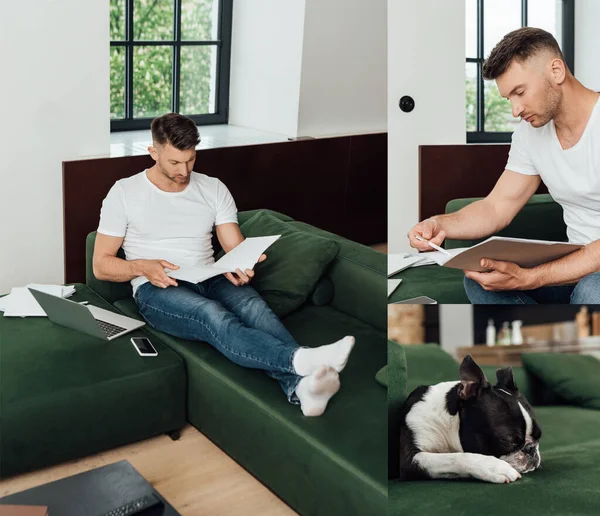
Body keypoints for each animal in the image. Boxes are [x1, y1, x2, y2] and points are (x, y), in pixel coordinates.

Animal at [400, 354, 540, 484]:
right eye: (508, 440)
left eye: (539, 436)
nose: (531, 448)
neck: (448, 423)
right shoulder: (408, 459)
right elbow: (455, 458)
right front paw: (494, 467)